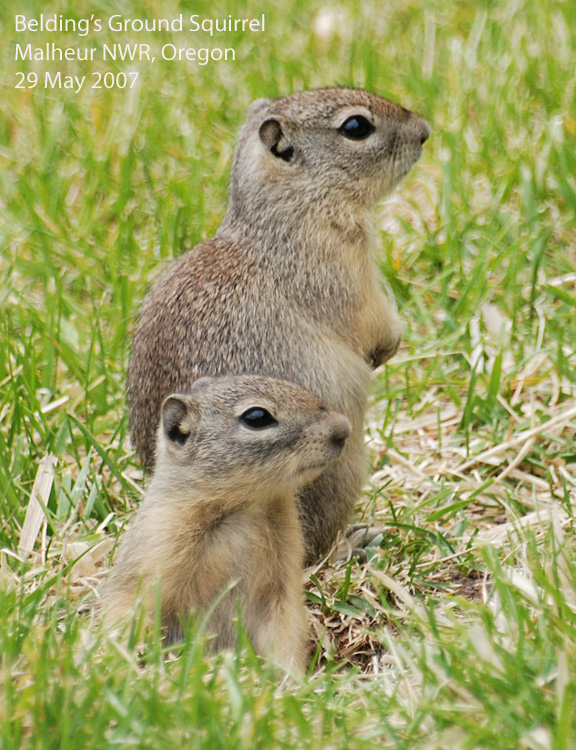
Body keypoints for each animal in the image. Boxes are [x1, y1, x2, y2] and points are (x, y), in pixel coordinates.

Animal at [103, 376, 352, 676]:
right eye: (256, 417)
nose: (344, 429)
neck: (243, 510)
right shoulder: (156, 551)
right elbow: (127, 609)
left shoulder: (282, 587)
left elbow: (286, 633)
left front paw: (289, 679)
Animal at [128, 86, 430, 564]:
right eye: (356, 127)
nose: (425, 131)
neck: (289, 208)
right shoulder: (345, 270)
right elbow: (372, 318)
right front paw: (388, 347)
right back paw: (353, 544)